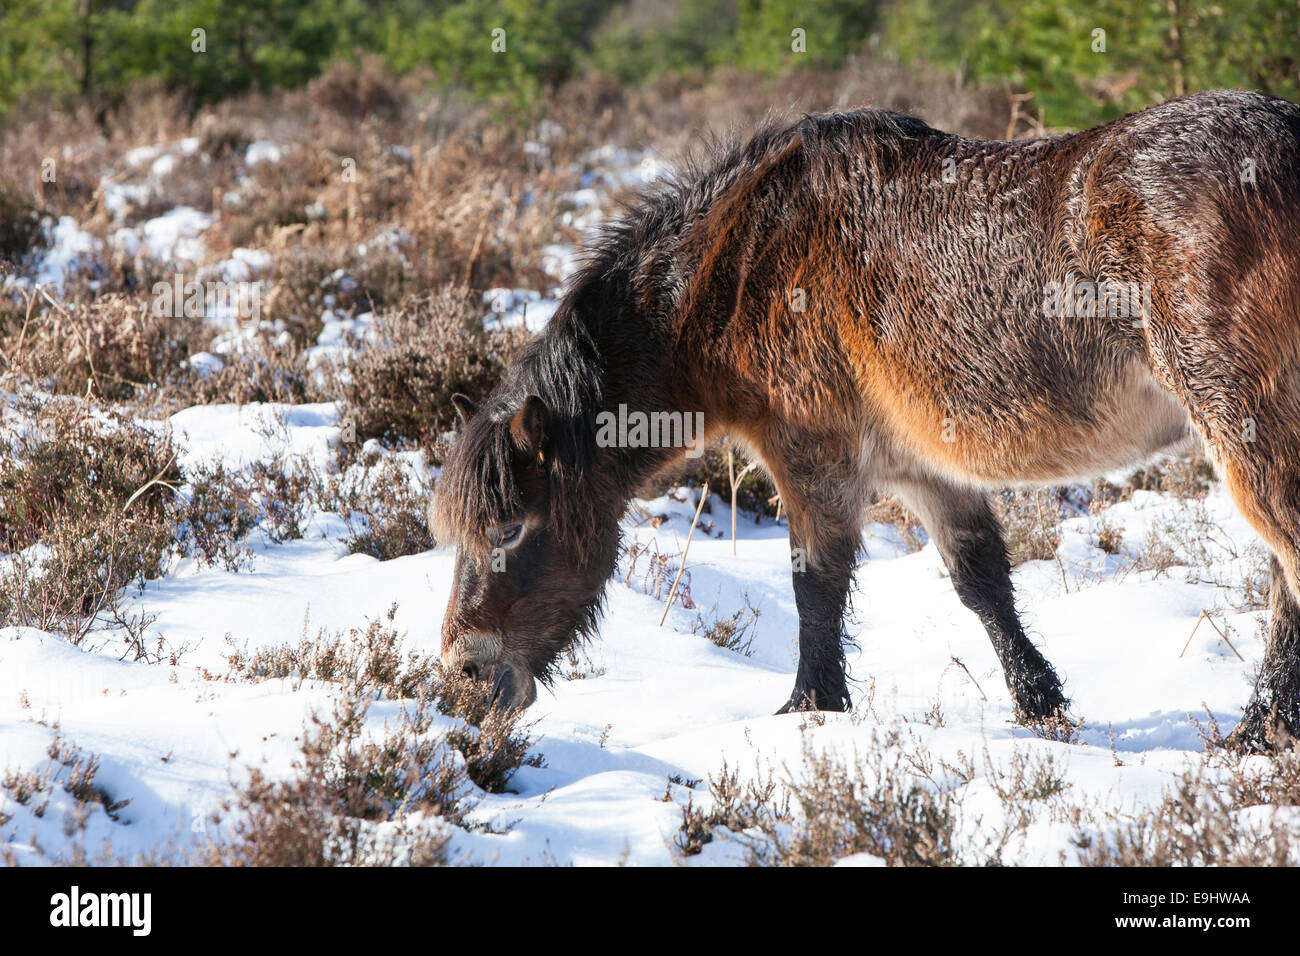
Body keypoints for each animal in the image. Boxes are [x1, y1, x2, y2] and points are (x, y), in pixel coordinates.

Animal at [434, 87, 1300, 749]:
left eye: (509, 528)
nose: (464, 678)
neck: (741, 264)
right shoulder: (926, 468)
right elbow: (982, 584)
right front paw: (1041, 706)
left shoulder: (812, 458)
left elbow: (815, 583)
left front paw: (808, 711)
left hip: (1245, 430)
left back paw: (1259, 733)